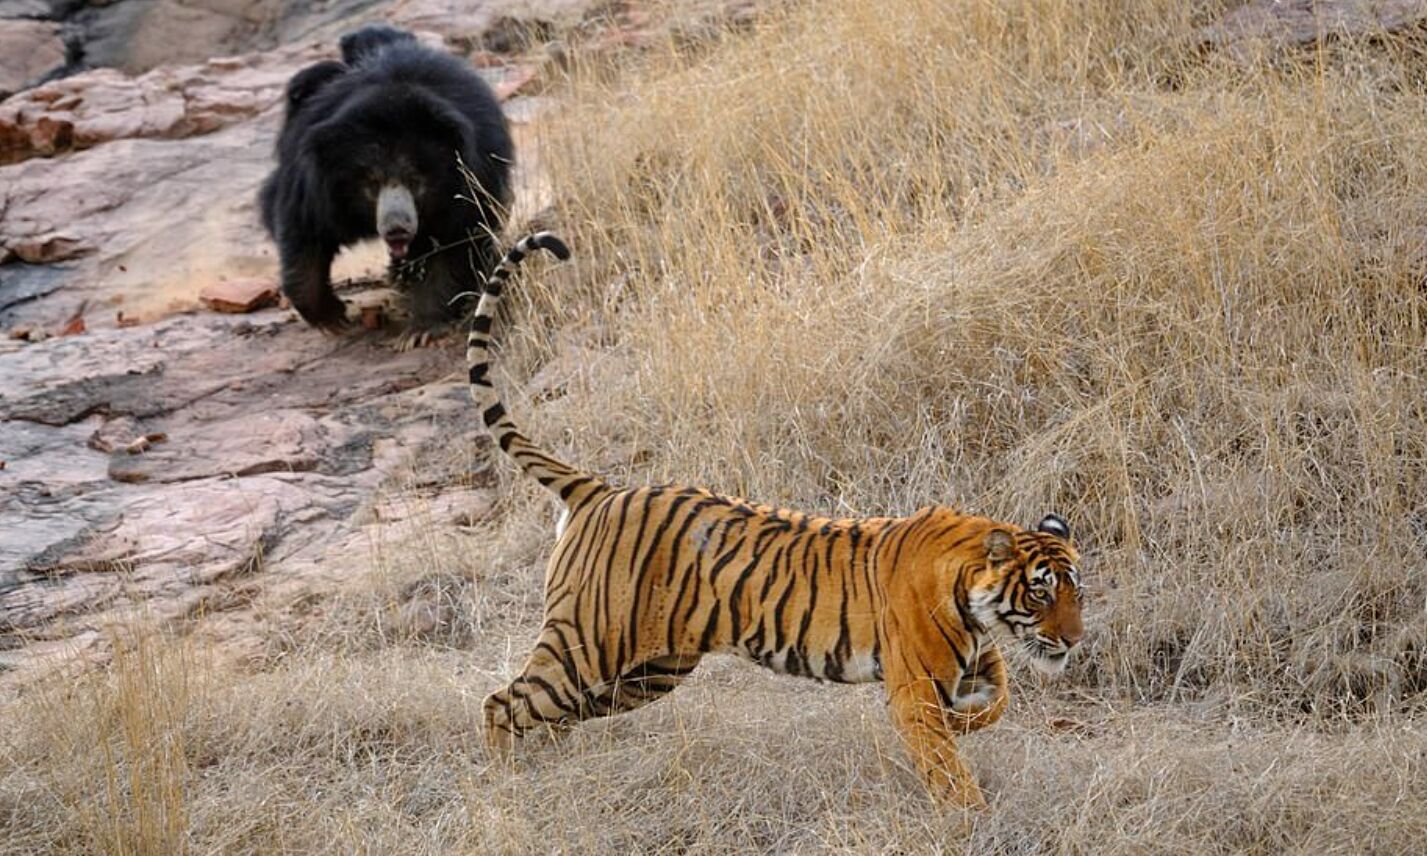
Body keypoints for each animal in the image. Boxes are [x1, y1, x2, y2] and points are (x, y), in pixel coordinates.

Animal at [261, 24, 513, 338]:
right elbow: (304, 231)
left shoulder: (473, 178)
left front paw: (423, 329)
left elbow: (458, 241)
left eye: (416, 180)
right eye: (371, 183)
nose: (396, 229)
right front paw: (332, 318)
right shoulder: (314, 181)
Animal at [468, 231, 1078, 804]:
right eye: (1040, 593)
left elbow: (999, 699)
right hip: (587, 647)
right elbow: (946, 766)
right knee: (502, 702)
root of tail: (599, 490)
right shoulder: (914, 686)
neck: (972, 598)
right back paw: (506, 782)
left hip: (648, 671)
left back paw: (551, 761)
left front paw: (968, 721)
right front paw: (969, 817)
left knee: (553, 713)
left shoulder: (973, 661)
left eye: (1077, 592)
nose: (1074, 641)